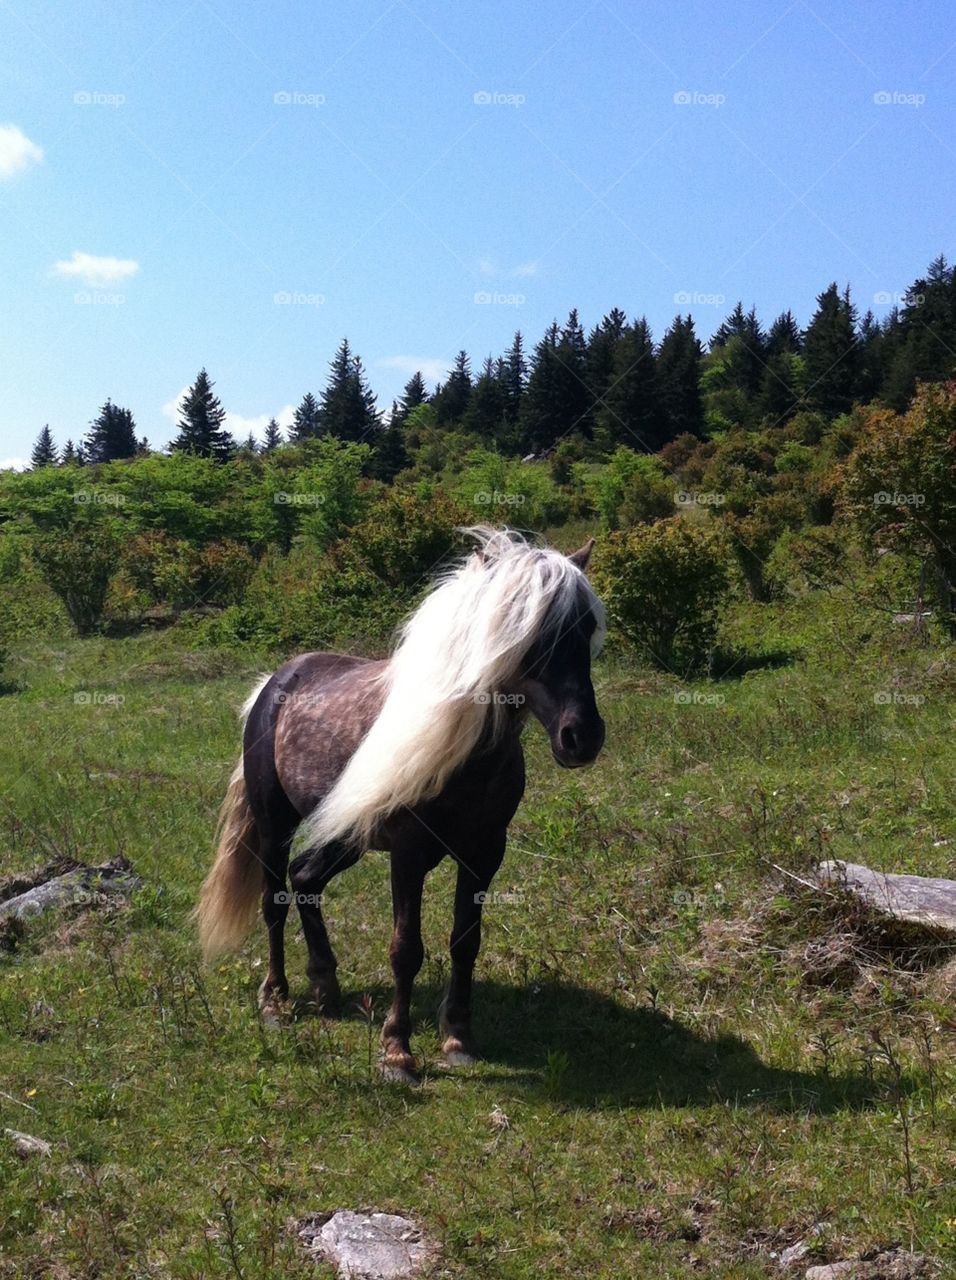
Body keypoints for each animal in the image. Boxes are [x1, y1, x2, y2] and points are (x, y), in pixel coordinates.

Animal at [196, 527, 606, 1082]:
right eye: (522, 631)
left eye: (586, 628)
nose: (581, 737)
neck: (461, 756)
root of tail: (275, 684)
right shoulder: (409, 856)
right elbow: (406, 949)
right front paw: (397, 1051)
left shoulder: (484, 854)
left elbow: (465, 942)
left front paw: (458, 1037)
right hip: (273, 824)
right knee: (275, 900)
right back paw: (276, 1001)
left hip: (345, 835)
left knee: (305, 879)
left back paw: (325, 985)